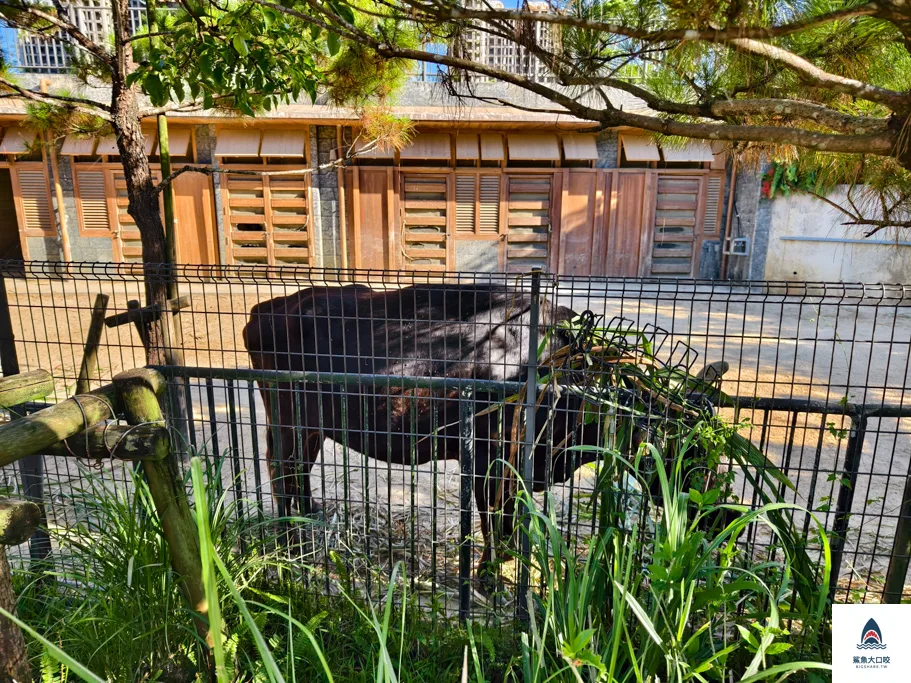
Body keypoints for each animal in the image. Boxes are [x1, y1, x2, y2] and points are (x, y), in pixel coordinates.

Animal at [242, 284, 604, 584]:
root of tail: (264, 309)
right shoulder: (488, 461)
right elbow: (494, 521)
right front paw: (488, 575)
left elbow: (508, 518)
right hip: (289, 423)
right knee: (281, 472)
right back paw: (289, 541)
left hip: (313, 428)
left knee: (298, 470)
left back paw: (311, 512)